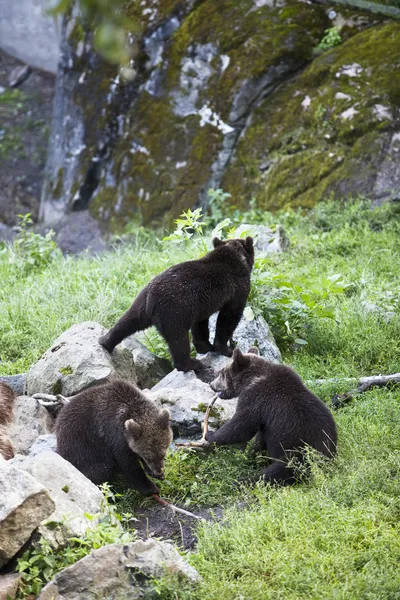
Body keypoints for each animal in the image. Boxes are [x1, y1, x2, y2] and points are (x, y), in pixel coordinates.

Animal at [98, 238, 253, 370]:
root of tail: (151, 301)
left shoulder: (201, 303)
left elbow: (200, 324)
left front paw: (205, 346)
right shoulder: (237, 288)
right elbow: (228, 317)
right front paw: (227, 349)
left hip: (140, 304)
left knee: (126, 322)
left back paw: (105, 341)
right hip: (174, 312)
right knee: (178, 340)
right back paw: (191, 364)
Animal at [206, 346, 338, 482]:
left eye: (221, 373)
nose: (211, 385)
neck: (251, 380)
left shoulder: (257, 399)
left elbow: (242, 425)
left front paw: (211, 435)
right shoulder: (266, 420)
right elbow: (258, 440)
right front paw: (252, 455)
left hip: (299, 451)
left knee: (281, 470)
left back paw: (244, 480)